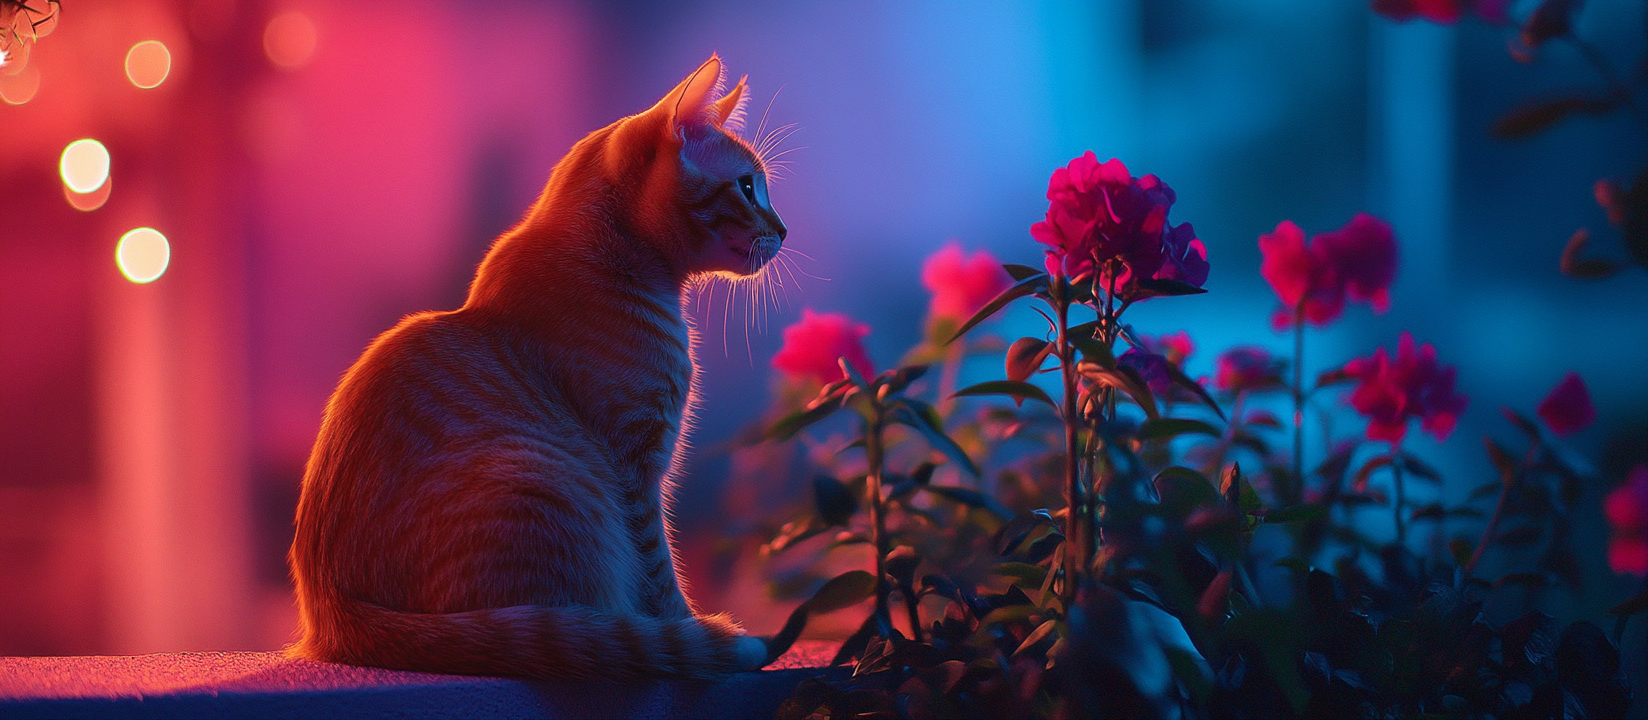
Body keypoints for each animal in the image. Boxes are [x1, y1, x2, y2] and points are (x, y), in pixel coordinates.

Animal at [290, 57, 784, 678]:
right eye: (747, 186)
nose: (784, 231)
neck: (610, 262)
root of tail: (332, 616)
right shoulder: (636, 473)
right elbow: (660, 576)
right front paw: (693, 631)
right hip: (541, 479)